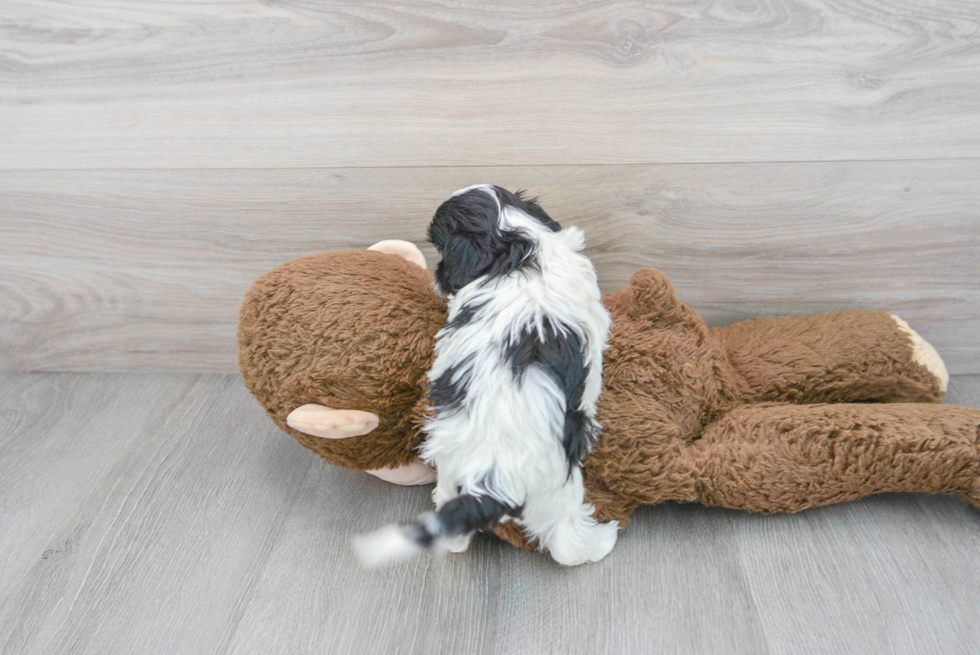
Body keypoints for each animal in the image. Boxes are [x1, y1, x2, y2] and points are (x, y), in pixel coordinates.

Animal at [354, 186, 620, 568]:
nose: (438, 274)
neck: (516, 246)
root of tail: (492, 478)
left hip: (452, 472)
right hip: (561, 490)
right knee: (566, 544)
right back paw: (600, 541)